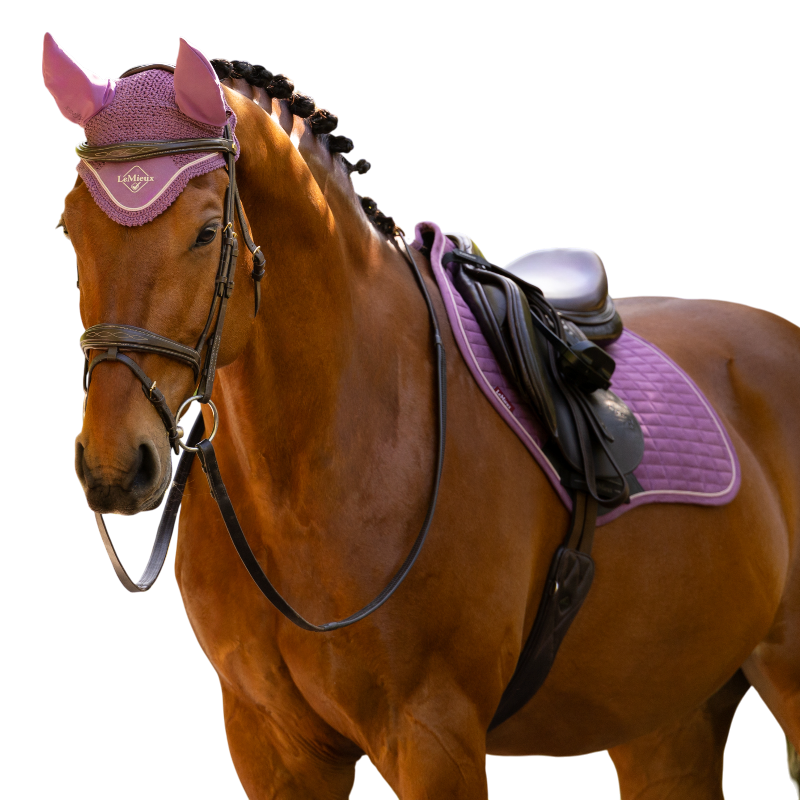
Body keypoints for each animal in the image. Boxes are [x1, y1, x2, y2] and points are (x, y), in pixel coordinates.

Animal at [48, 34, 799, 799]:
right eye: (70, 228)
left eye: (205, 233)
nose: (114, 463)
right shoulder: (271, 745)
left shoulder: (434, 735)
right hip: (666, 719)